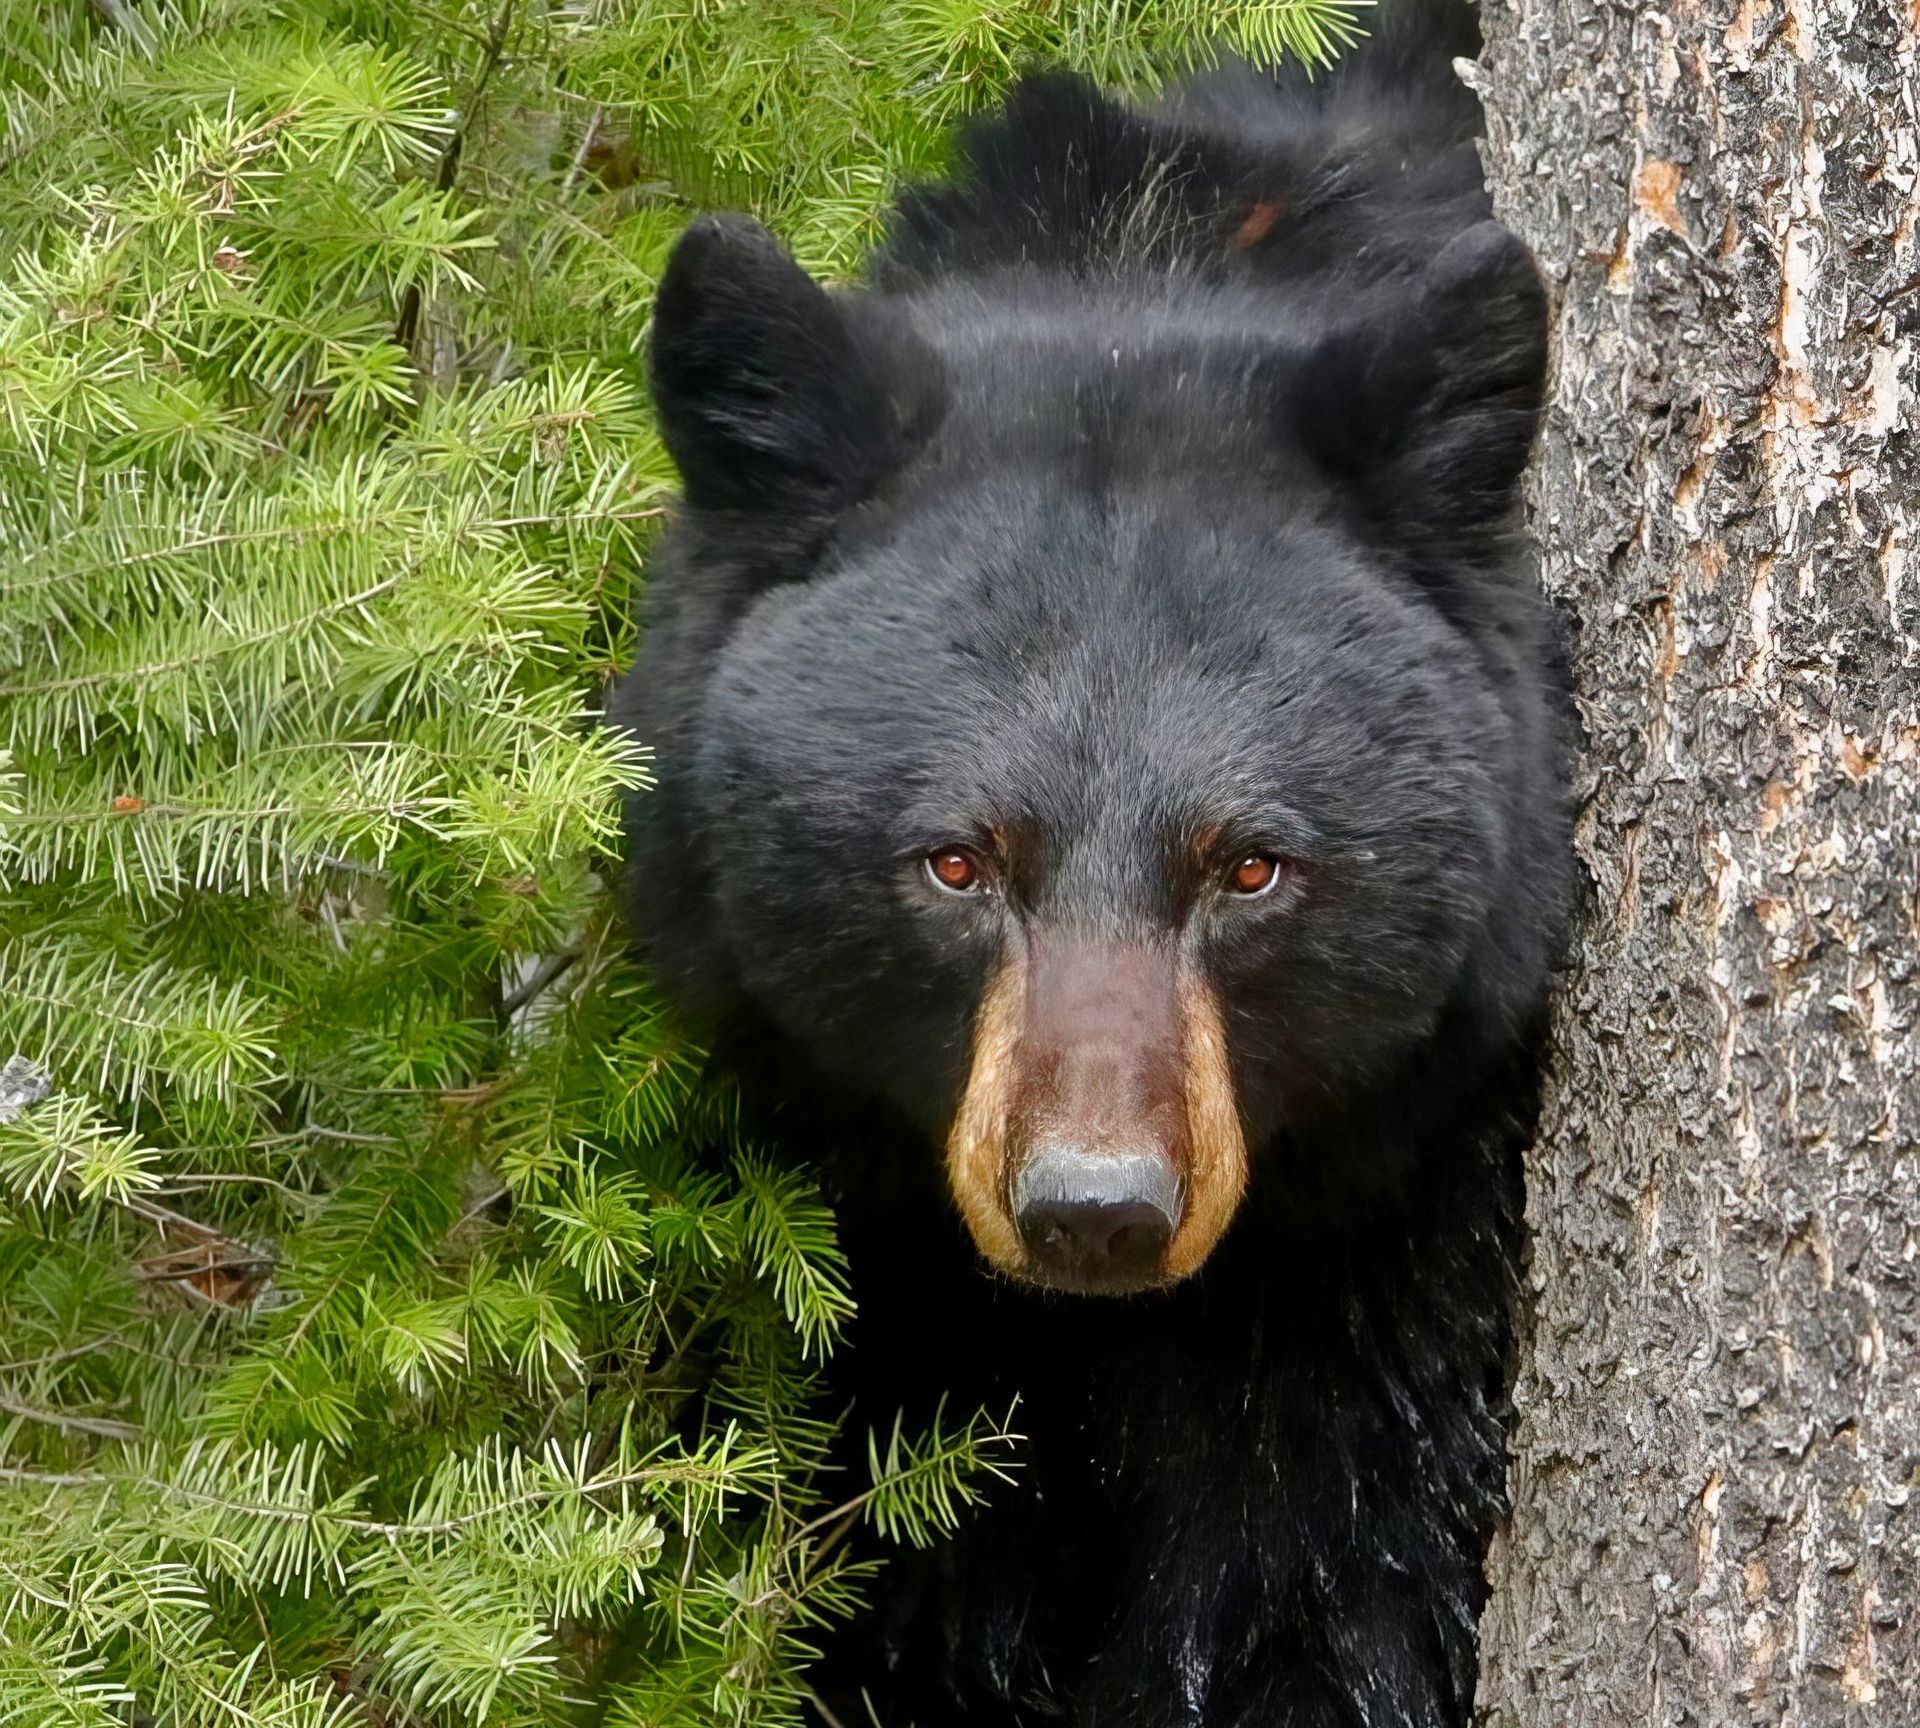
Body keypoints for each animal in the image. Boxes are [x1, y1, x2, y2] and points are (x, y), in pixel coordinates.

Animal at [610, 1, 1572, 1722]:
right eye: (955, 862)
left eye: (1251, 868)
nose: (1095, 1211)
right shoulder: (883, 1306)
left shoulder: (1395, 1272)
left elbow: (1341, 1601)